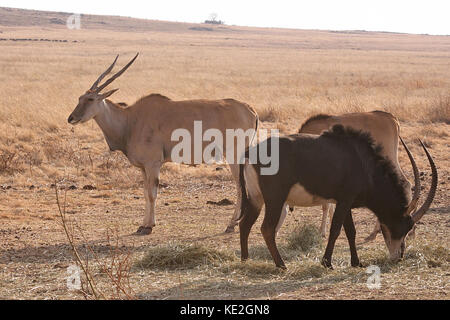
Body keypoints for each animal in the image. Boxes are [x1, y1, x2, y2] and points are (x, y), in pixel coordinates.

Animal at [66, 53, 256, 235]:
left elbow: (152, 194)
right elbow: (145, 193)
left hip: (234, 157)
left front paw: (148, 227)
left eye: (90, 99)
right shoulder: (144, 168)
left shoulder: (153, 164)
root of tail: (250, 109)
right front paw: (143, 225)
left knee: (241, 188)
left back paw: (231, 224)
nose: (71, 118)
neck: (130, 120)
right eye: (79, 98)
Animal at [239, 124, 436, 268]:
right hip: (275, 200)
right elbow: (335, 230)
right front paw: (327, 263)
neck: (364, 164)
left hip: (256, 200)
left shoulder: (345, 202)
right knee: (267, 228)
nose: (399, 257)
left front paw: (356, 262)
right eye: (404, 226)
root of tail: (250, 153)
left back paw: (245, 260)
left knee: (245, 224)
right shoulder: (344, 200)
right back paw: (281, 265)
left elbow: (351, 232)